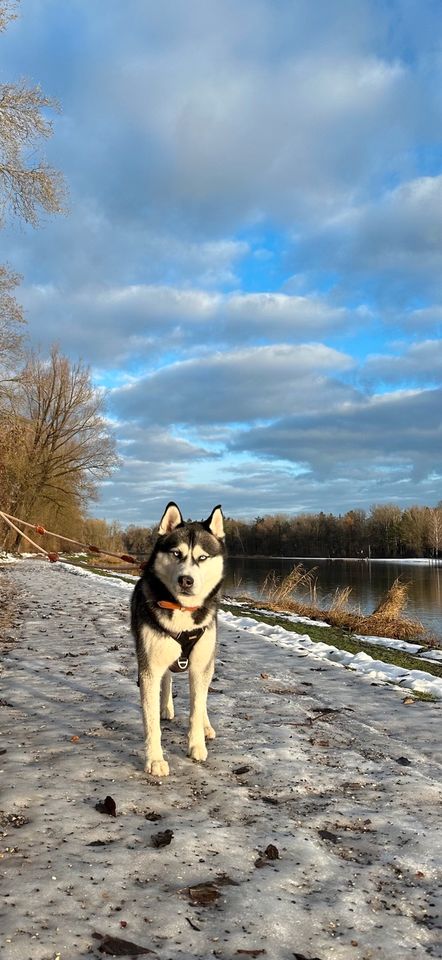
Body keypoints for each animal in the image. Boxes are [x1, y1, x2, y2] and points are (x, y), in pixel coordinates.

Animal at [131, 498, 224, 776]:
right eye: (176, 554)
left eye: (202, 557)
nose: (186, 580)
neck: (182, 609)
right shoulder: (149, 667)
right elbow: (151, 720)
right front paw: (155, 759)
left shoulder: (200, 665)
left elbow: (196, 706)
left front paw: (196, 744)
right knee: (167, 680)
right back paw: (166, 708)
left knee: (201, 697)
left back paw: (206, 725)